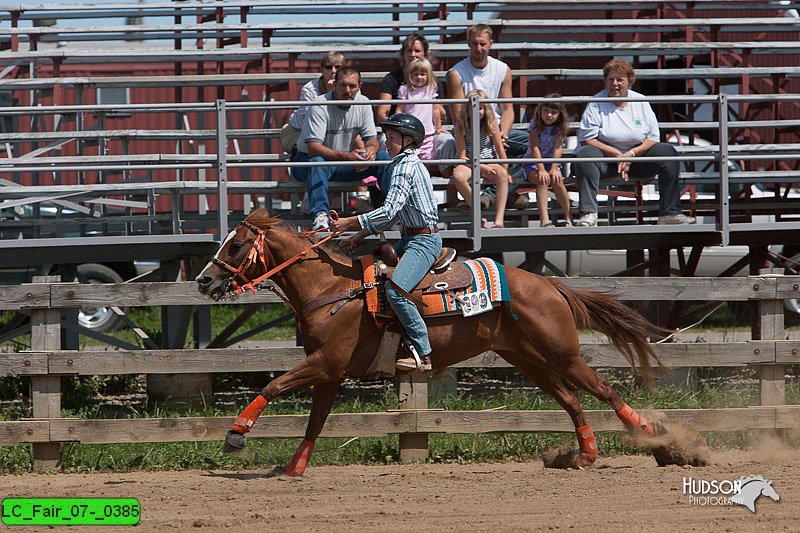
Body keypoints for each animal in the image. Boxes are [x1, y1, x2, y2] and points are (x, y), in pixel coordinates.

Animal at [197, 208, 696, 474]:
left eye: (236, 246)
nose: (204, 281)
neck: (332, 289)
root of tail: (550, 285)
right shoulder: (330, 374)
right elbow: (314, 422)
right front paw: (294, 466)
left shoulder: (325, 365)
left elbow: (273, 385)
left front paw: (236, 435)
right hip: (529, 360)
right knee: (572, 400)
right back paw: (586, 454)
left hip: (561, 353)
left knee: (604, 389)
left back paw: (653, 436)